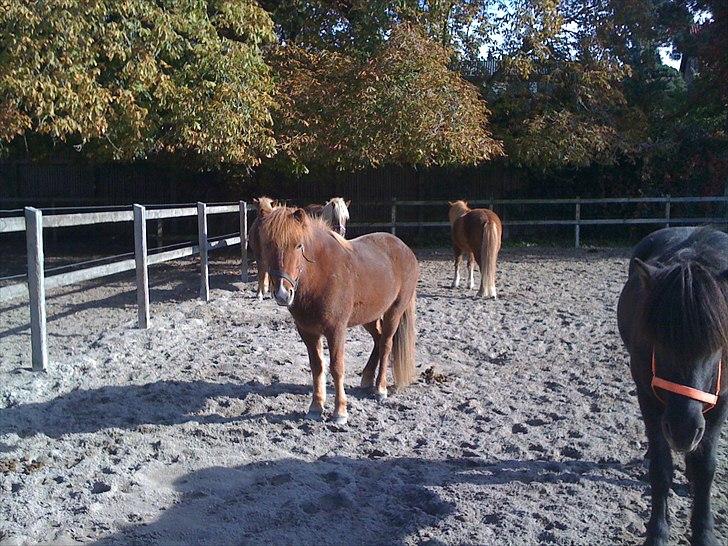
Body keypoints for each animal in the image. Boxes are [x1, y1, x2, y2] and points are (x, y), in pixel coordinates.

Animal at [258, 206, 418, 422]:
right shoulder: (308, 332)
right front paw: (316, 406)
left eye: (298, 245)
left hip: (394, 312)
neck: (320, 275)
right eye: (268, 245)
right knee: (378, 339)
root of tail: (405, 249)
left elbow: (336, 367)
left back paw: (380, 388)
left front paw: (340, 411)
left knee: (386, 344)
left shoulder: (336, 330)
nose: (283, 293)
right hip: (369, 316)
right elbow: (317, 367)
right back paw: (367, 378)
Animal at [616, 226, 724, 544]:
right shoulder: (647, 394)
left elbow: (705, 467)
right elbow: (661, 468)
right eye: (657, 341)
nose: (682, 430)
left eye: (718, 344)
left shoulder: (721, 401)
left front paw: (704, 533)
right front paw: (658, 533)